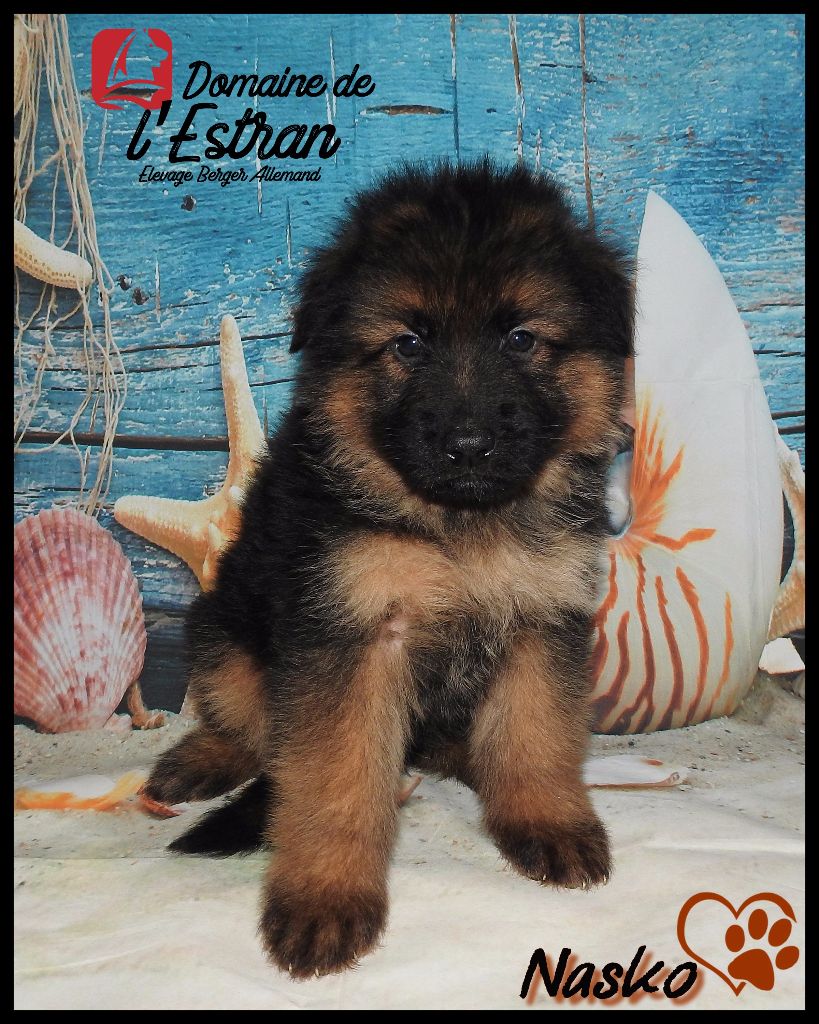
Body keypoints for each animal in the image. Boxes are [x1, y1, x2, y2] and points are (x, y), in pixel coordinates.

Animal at [144, 160, 634, 978]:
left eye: (521, 338)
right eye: (407, 343)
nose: (468, 445)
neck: (458, 526)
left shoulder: (542, 618)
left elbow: (535, 733)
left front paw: (545, 818)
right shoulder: (354, 637)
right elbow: (336, 778)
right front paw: (325, 896)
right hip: (218, 625)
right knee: (244, 721)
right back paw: (204, 756)